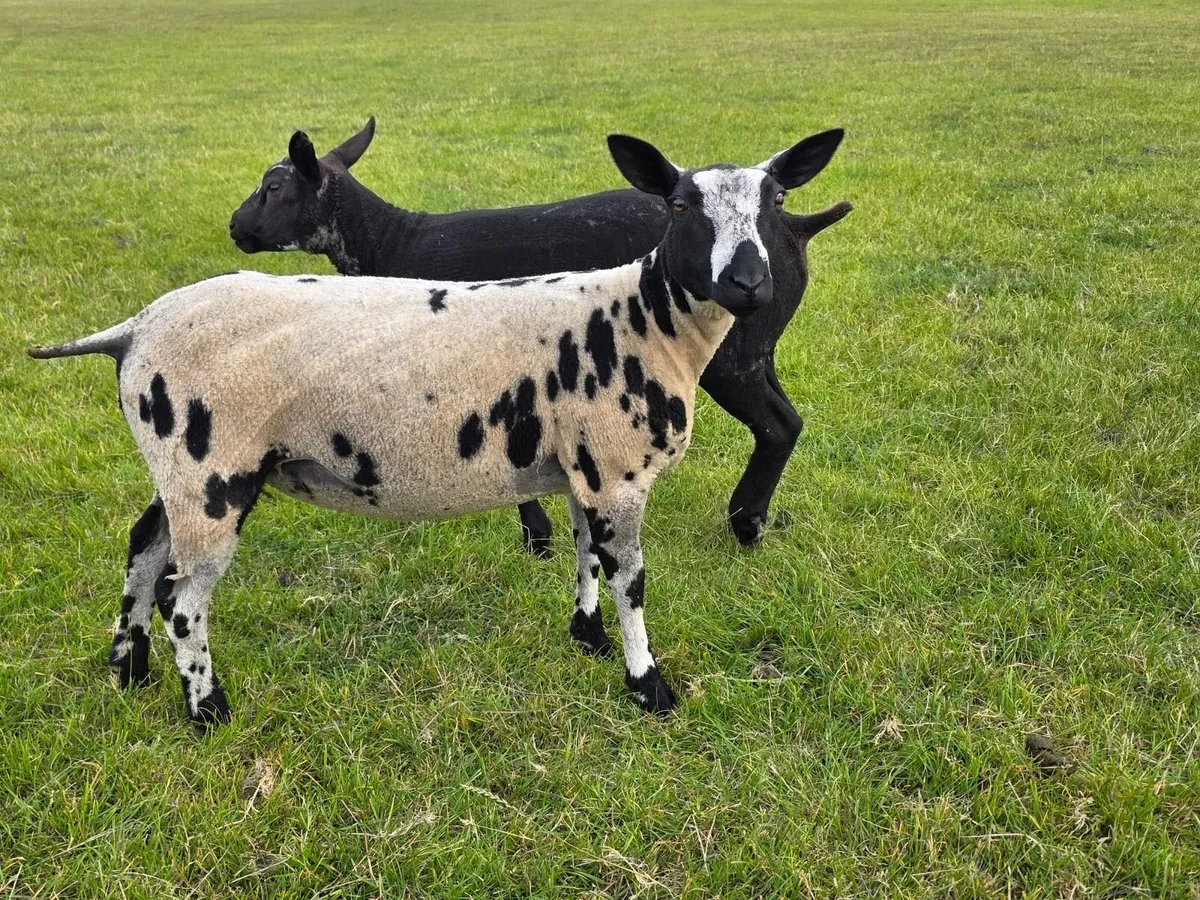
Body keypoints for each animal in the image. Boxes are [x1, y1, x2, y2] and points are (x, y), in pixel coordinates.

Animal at [230, 118, 852, 554]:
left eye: (274, 186)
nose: (235, 228)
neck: (390, 242)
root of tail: (796, 229)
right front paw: (542, 536)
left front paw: (536, 539)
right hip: (758, 344)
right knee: (787, 417)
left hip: (731, 353)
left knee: (777, 424)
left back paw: (745, 524)